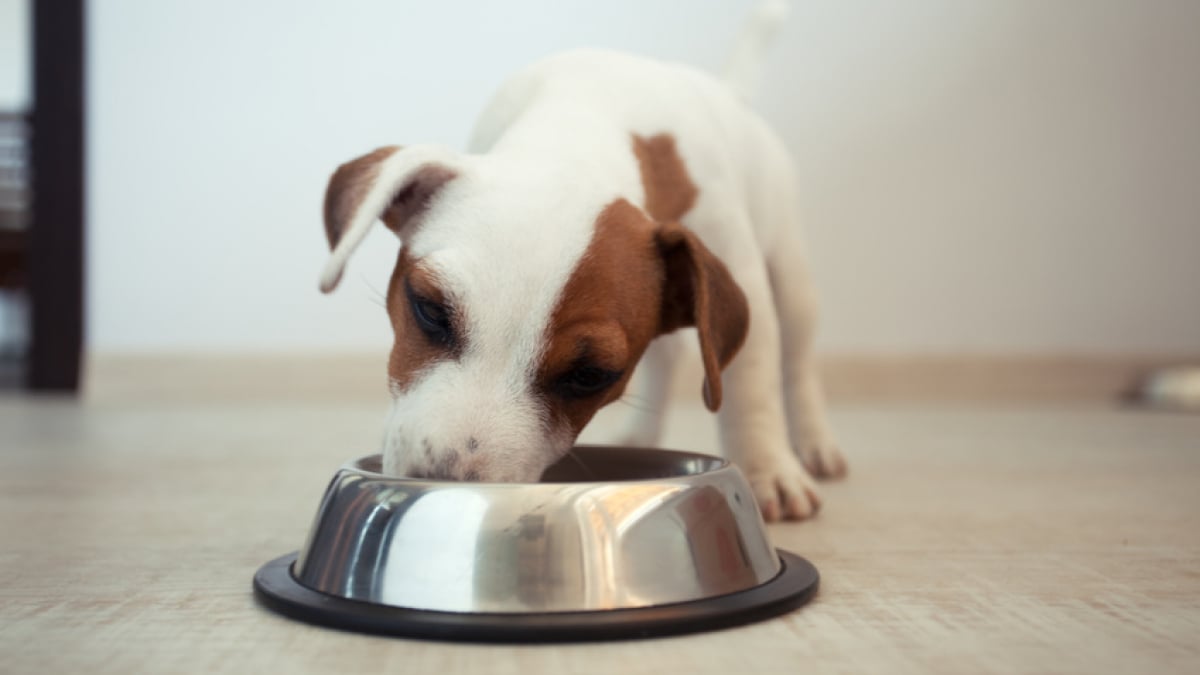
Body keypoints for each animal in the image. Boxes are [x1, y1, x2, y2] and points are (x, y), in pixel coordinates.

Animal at [316, 2, 844, 521]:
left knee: (796, 364)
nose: (444, 485)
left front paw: (767, 469)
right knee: (668, 354)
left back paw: (814, 444)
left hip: (790, 277)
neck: (580, 123)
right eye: (429, 310)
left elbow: (751, 387)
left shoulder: (741, 267)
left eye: (590, 376)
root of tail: (730, 92)